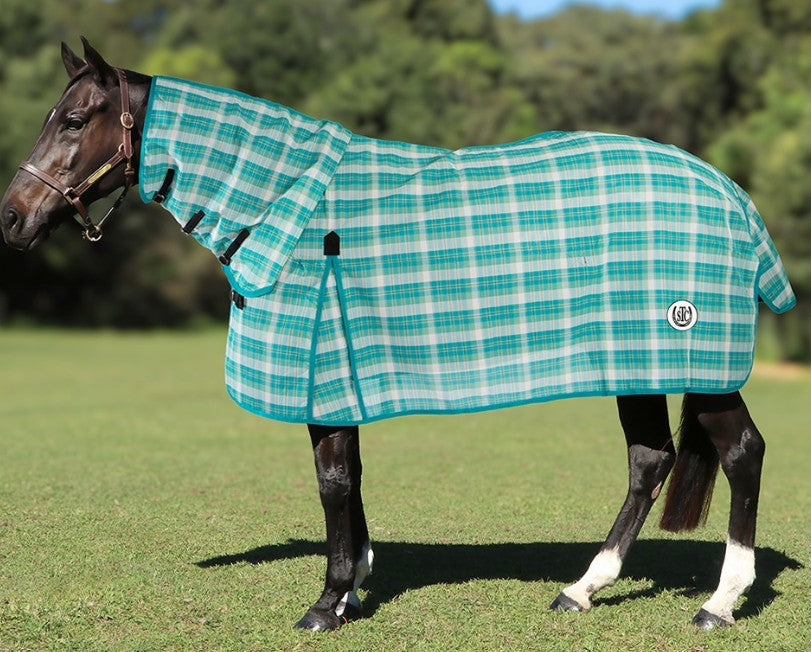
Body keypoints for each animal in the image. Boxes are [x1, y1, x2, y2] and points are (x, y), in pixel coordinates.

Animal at [0, 39, 796, 632]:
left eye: (75, 119)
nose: (12, 217)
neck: (285, 204)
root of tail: (733, 198)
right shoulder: (339, 374)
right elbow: (349, 478)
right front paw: (354, 584)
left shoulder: (320, 372)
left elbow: (331, 480)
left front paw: (328, 601)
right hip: (637, 362)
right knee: (648, 460)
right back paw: (582, 588)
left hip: (695, 359)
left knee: (742, 453)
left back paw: (720, 601)